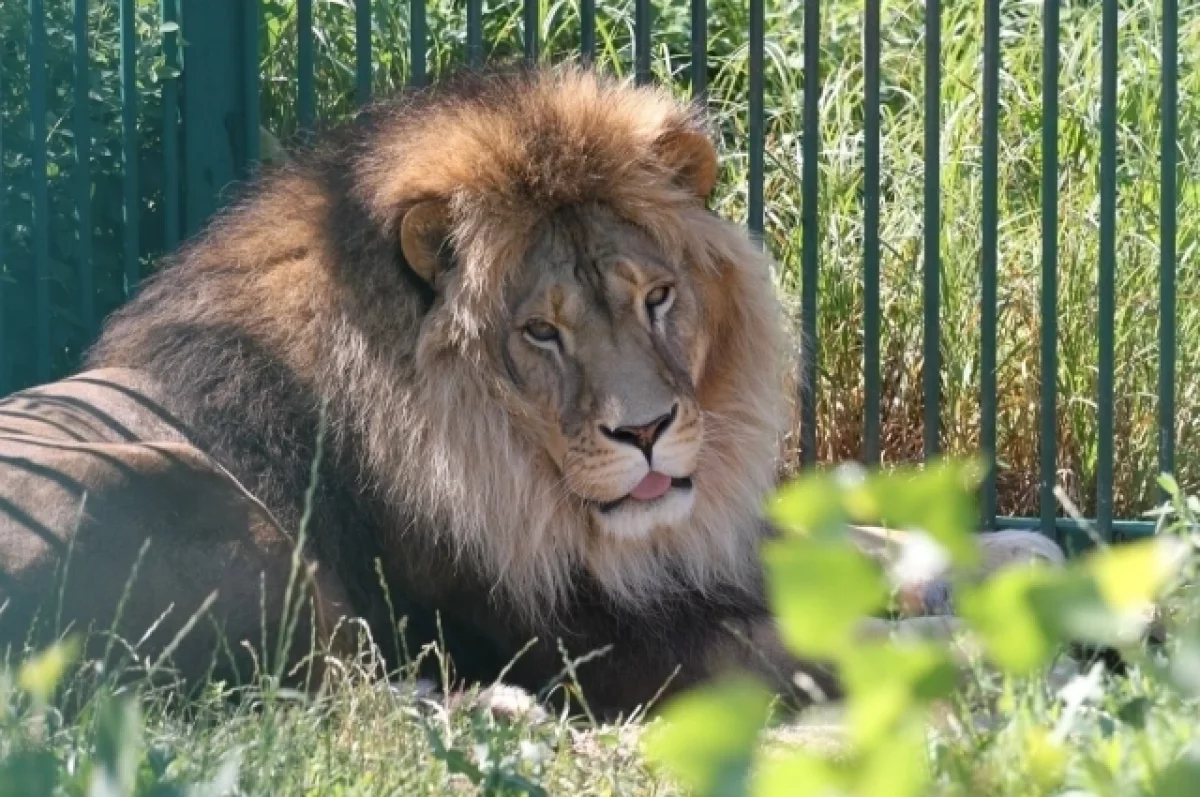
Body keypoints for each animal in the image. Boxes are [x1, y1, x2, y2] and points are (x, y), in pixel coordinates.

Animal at [0, 65, 1065, 720]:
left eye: (657, 297)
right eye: (540, 333)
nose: (647, 431)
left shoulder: (667, 544)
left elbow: (847, 536)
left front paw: (1019, 553)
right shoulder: (592, 638)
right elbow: (850, 643)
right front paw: (1016, 636)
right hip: (202, 498)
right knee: (325, 699)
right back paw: (505, 713)